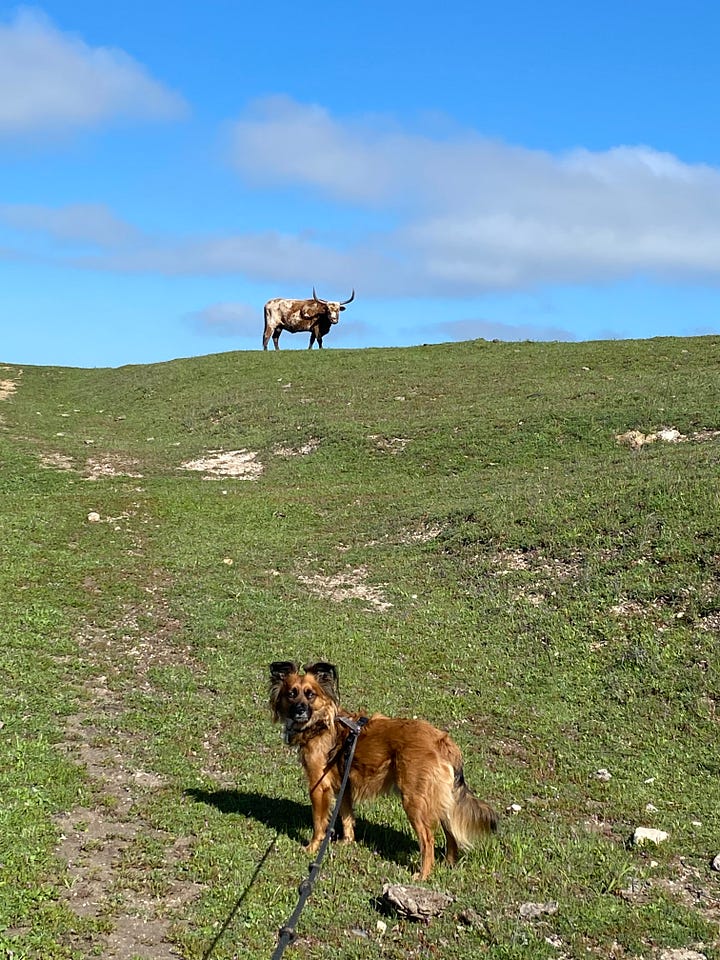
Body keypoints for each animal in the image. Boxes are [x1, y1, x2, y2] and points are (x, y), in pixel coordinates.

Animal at [269, 660, 498, 880]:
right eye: (291, 693)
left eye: (310, 694)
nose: (300, 710)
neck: (321, 723)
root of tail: (442, 741)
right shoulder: (344, 785)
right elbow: (346, 816)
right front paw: (346, 842)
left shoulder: (319, 786)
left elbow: (319, 822)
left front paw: (312, 848)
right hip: (438, 798)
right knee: (450, 833)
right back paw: (448, 863)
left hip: (414, 801)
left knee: (428, 839)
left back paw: (423, 875)